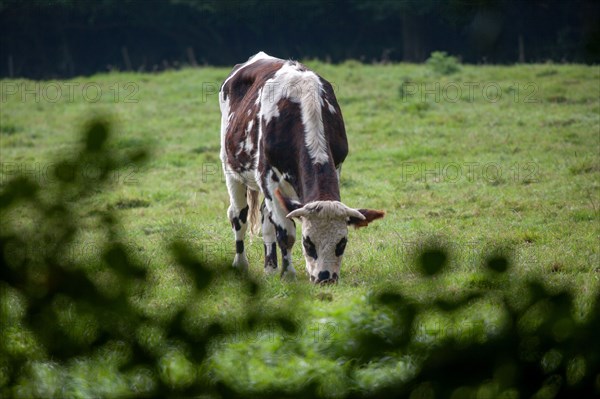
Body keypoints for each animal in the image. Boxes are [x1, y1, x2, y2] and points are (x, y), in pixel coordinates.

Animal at [218, 52, 382, 284]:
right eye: (308, 242)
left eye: (342, 243)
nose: (325, 278)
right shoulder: (269, 178)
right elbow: (286, 233)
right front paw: (288, 274)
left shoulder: (337, 167)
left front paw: (282, 270)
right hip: (231, 169)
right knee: (238, 215)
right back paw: (240, 264)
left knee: (266, 220)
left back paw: (270, 268)